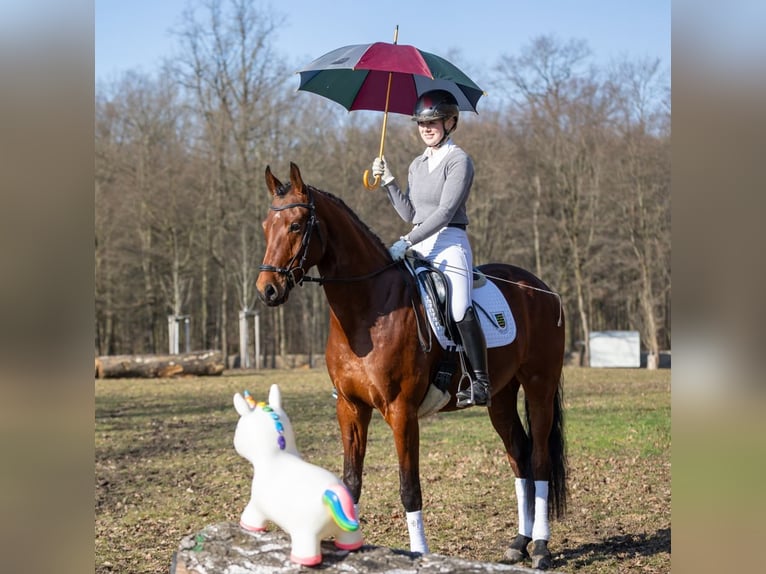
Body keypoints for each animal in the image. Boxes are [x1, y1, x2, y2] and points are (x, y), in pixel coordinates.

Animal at [256, 162, 567, 570]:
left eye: (295, 225)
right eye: (266, 225)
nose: (267, 289)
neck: (367, 311)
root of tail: (541, 287)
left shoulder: (401, 411)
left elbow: (409, 488)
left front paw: (419, 553)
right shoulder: (350, 408)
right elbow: (351, 482)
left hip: (538, 385)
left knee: (542, 459)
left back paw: (542, 548)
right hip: (500, 395)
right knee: (519, 456)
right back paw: (519, 543)